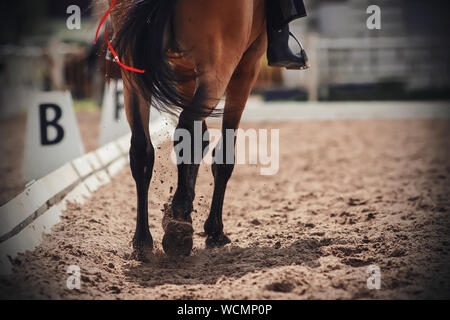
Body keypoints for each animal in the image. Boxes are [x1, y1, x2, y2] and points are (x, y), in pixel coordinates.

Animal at [102, 0, 268, 258]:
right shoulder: (248, 64)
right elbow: (223, 157)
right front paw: (213, 230)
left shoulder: (184, 70)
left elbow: (199, 141)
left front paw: (182, 212)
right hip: (220, 66)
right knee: (187, 125)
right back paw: (179, 219)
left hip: (133, 72)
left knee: (142, 148)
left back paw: (144, 239)